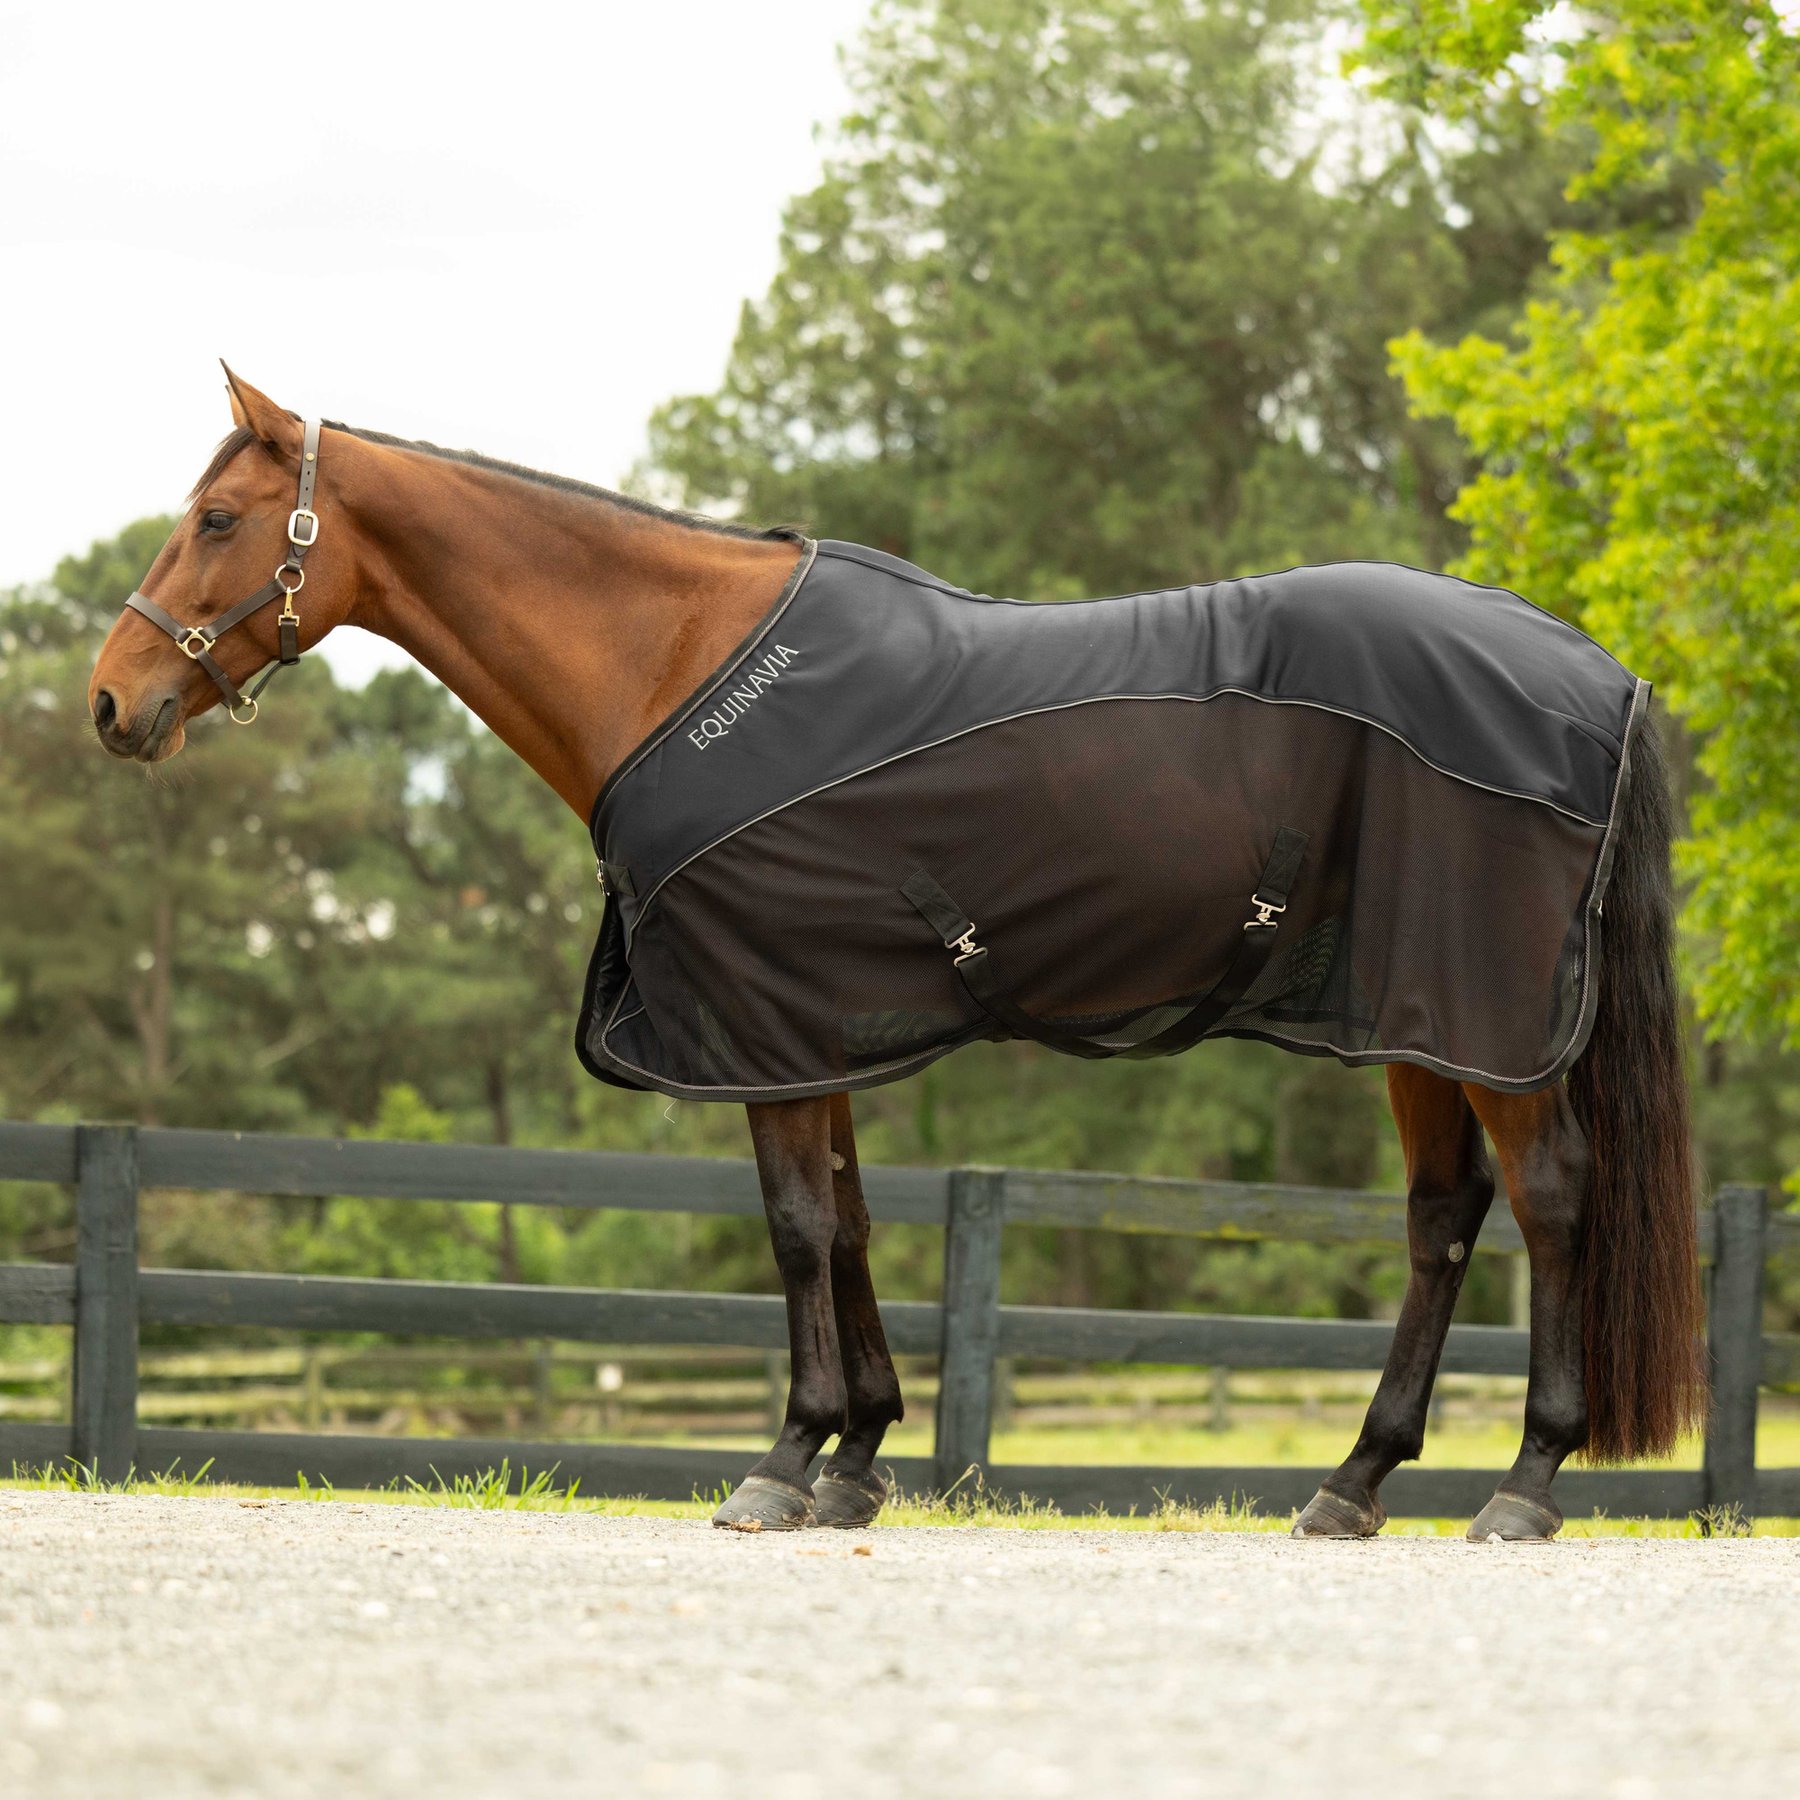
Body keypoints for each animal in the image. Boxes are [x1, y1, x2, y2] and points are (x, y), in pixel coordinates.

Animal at [87, 369, 1706, 1539]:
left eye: (218, 521)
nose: (110, 700)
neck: (677, 662)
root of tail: (1594, 669)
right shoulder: (821, 1020)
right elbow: (855, 1224)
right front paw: (860, 1459)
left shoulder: (762, 1020)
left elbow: (801, 1229)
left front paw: (785, 1461)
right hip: (1412, 1015)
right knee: (1444, 1219)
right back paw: (1352, 1484)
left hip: (1485, 1016)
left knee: (1552, 1202)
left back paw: (1525, 1486)